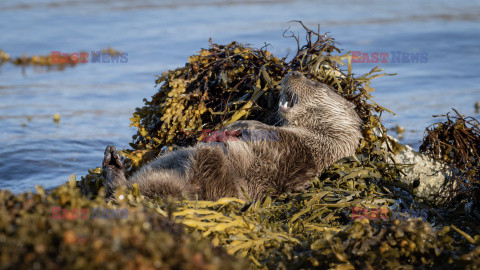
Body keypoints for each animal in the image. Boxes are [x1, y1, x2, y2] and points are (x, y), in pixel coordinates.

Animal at [103, 71, 362, 200]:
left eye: (318, 85)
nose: (294, 72)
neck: (318, 140)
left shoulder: (297, 146)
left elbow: (266, 131)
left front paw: (243, 127)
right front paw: (234, 124)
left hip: (215, 183)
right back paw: (112, 161)